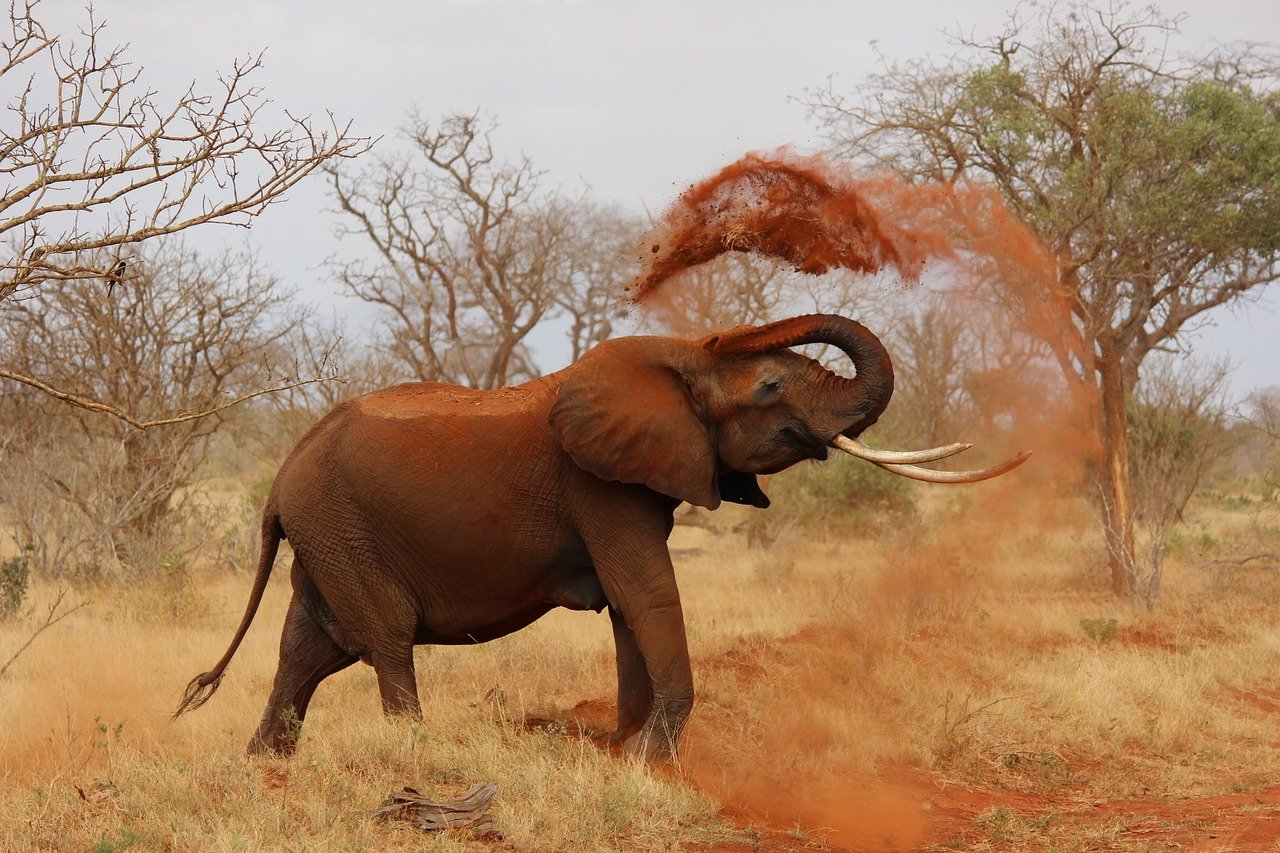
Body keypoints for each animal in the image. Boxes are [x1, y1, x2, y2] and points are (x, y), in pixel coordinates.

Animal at [177, 312, 1018, 758]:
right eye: (773, 385)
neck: (677, 360)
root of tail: (282, 475)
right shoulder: (600, 486)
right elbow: (646, 591)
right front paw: (651, 756)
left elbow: (627, 606)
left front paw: (627, 748)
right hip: (342, 526)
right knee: (382, 638)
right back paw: (413, 752)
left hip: (327, 531)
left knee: (309, 646)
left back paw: (265, 765)